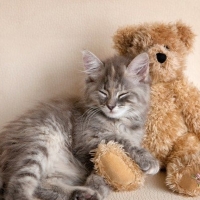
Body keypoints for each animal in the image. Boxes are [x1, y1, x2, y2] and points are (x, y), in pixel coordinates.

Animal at [0, 50, 159, 200]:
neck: (118, 122)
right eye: (103, 92)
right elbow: (119, 140)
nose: (111, 106)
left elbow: (104, 172)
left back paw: (82, 193)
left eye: (123, 94)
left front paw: (97, 188)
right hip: (39, 142)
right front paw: (149, 160)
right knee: (16, 186)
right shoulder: (86, 141)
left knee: (43, 184)